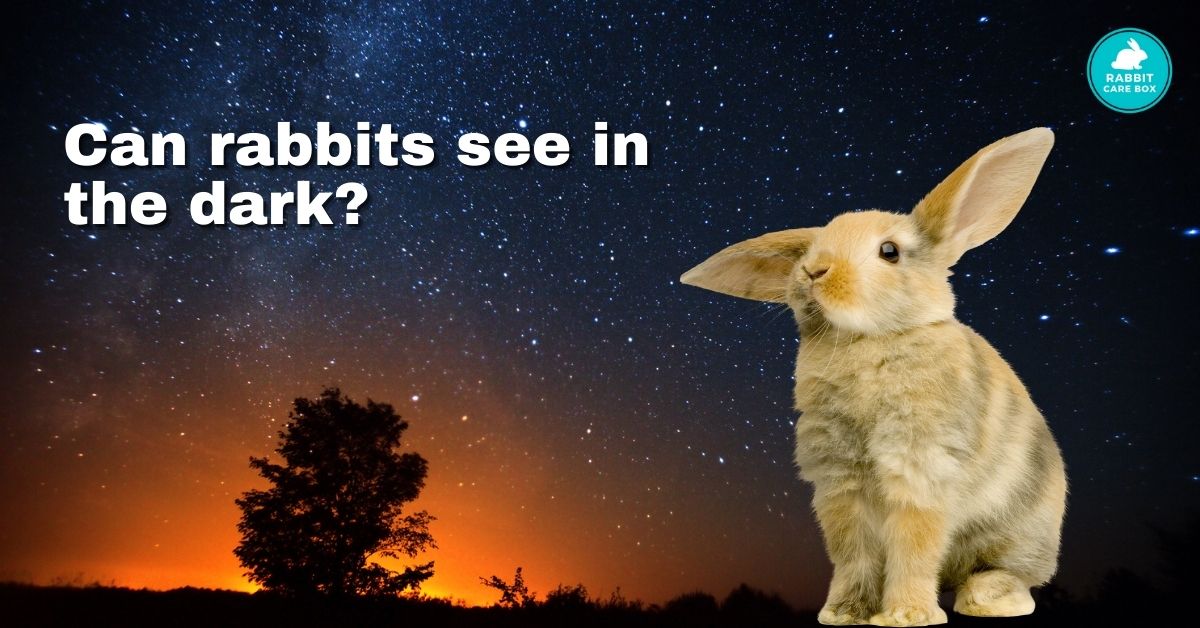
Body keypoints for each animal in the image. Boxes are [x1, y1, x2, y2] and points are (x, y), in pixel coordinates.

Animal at [680, 128, 1067, 626]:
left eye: (889, 252)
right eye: (810, 250)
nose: (812, 271)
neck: (865, 340)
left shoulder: (919, 467)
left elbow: (914, 545)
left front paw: (905, 616)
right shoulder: (840, 481)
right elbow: (852, 553)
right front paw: (843, 613)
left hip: (1017, 535)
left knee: (1008, 574)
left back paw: (989, 600)